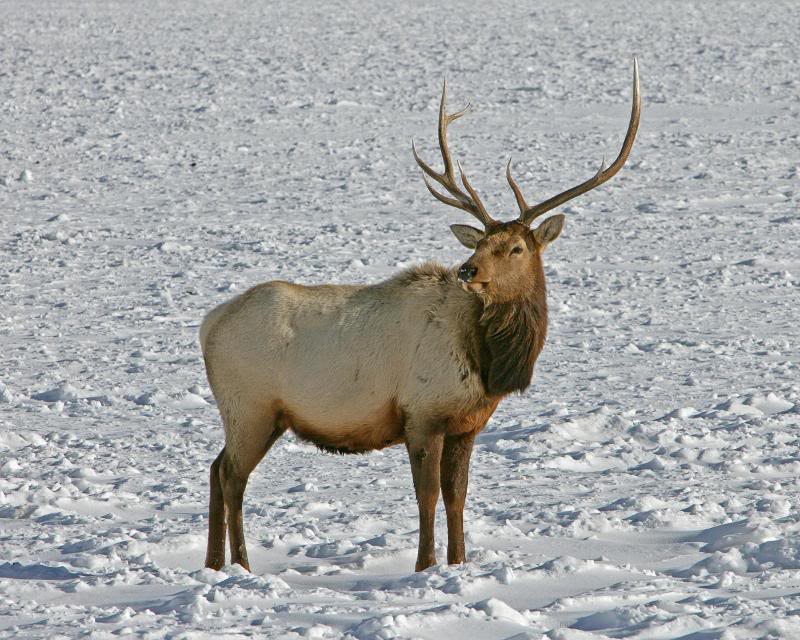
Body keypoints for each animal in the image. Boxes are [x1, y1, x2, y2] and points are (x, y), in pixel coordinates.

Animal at [200, 61, 640, 573]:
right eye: (479, 243)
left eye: (515, 247)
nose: (468, 269)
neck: (488, 361)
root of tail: (208, 325)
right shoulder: (422, 414)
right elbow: (427, 495)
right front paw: (425, 566)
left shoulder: (468, 423)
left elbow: (458, 496)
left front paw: (459, 562)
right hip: (250, 407)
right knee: (232, 476)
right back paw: (241, 566)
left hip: (256, 415)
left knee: (216, 468)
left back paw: (214, 564)